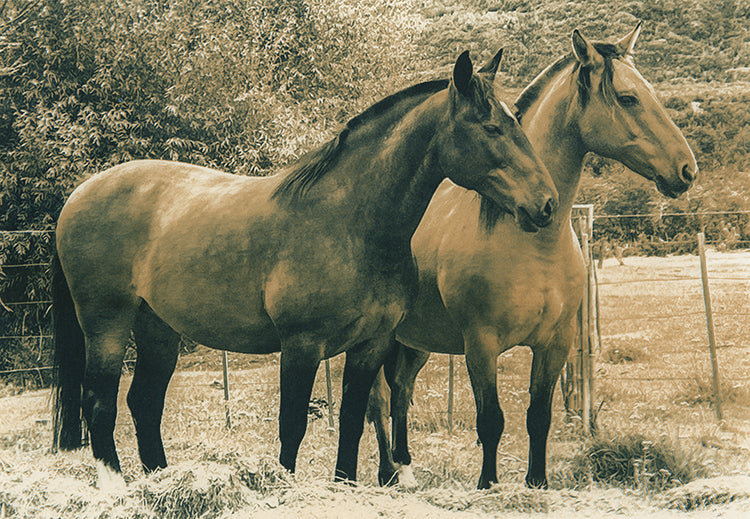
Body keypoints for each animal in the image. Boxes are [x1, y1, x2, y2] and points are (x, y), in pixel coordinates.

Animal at [51, 50, 559, 484]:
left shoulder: (371, 345)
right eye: (491, 127)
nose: (547, 204)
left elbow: (352, 421)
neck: (349, 222)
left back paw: (161, 480)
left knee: (143, 402)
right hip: (107, 325)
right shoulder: (302, 344)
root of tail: (78, 195)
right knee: (99, 403)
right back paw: (114, 485)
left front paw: (344, 483)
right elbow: (292, 423)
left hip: (158, 328)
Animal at [368, 23, 698, 489]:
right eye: (628, 98)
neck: (531, 241)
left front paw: (537, 483)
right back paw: (387, 474)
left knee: (400, 392)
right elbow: (491, 420)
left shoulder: (555, 343)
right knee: (378, 399)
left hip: (415, 341)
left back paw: (406, 470)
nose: (686, 170)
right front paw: (487, 485)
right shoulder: (481, 345)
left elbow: (538, 417)